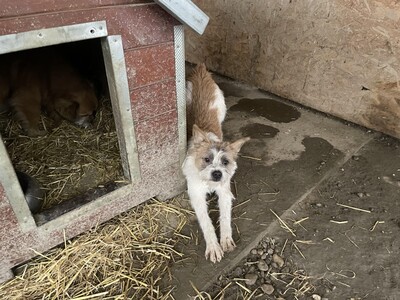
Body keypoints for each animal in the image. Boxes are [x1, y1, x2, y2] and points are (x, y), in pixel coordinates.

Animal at [183, 63, 248, 262]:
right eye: (206, 159)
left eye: (225, 162)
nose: (217, 173)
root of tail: (200, 70)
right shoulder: (196, 195)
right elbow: (206, 222)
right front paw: (213, 246)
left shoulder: (225, 192)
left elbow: (225, 218)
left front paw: (225, 239)